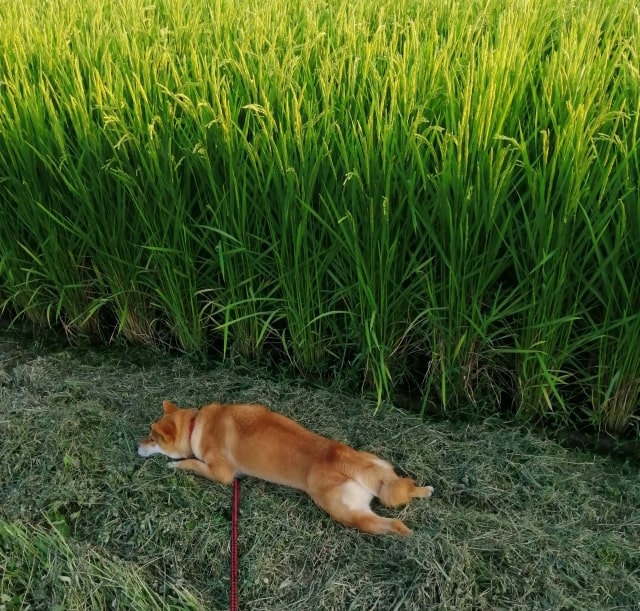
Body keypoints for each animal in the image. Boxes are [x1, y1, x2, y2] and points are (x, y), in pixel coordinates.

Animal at [137, 402, 432, 536]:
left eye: (152, 438)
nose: (137, 446)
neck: (196, 425)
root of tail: (341, 457)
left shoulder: (221, 474)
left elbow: (192, 464)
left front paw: (175, 464)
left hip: (345, 512)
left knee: (388, 523)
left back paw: (405, 535)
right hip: (380, 470)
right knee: (399, 488)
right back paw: (424, 490)